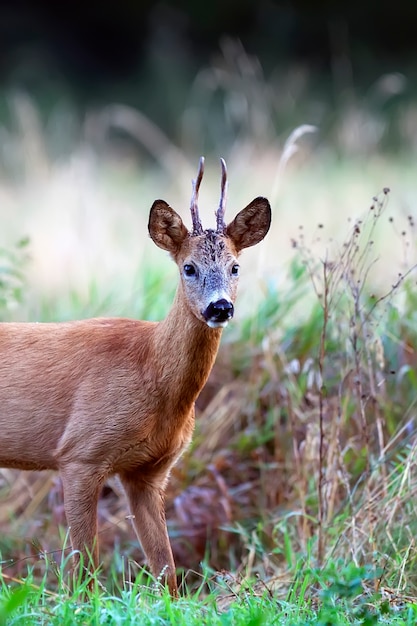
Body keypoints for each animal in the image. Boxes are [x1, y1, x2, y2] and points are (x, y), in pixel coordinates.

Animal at [0, 157, 270, 596]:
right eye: (188, 267)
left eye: (235, 267)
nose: (220, 307)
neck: (151, 372)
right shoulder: (79, 453)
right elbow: (84, 571)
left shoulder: (149, 471)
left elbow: (167, 571)